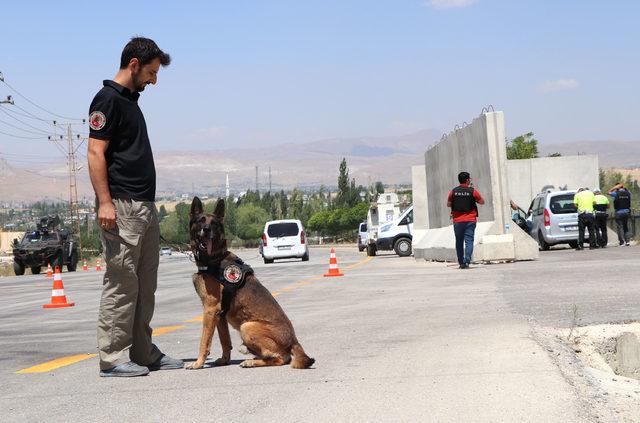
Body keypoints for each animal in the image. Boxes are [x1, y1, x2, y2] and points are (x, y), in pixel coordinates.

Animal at [185, 197, 316, 370]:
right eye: (201, 220)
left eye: (214, 223)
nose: (206, 229)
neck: (215, 258)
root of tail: (294, 340)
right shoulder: (219, 315)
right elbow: (225, 341)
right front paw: (224, 360)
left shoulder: (210, 309)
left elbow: (204, 341)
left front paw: (198, 363)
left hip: (247, 326)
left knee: (282, 359)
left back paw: (251, 361)